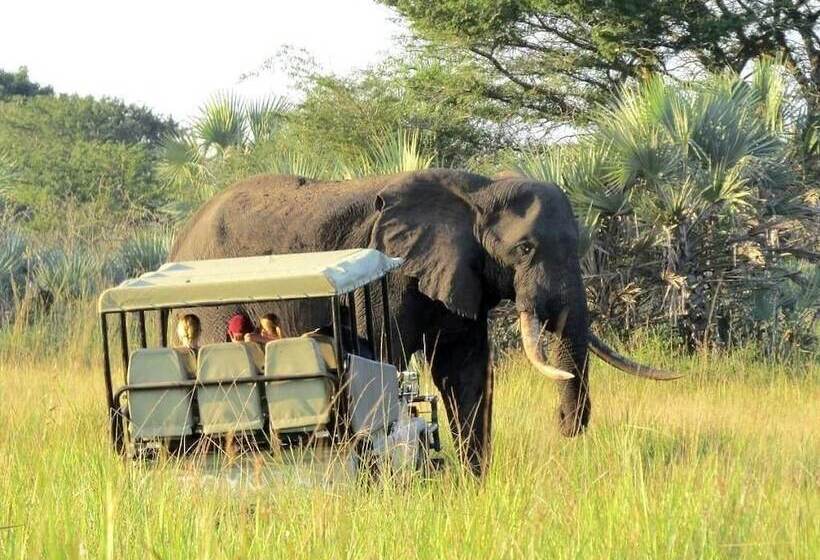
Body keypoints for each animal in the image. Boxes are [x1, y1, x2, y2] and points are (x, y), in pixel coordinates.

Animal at [170, 169, 680, 475]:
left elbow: (465, 371)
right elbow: (383, 359)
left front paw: (474, 486)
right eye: (525, 249)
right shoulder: (393, 276)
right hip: (216, 311)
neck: (476, 192)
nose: (564, 426)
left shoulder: (462, 273)